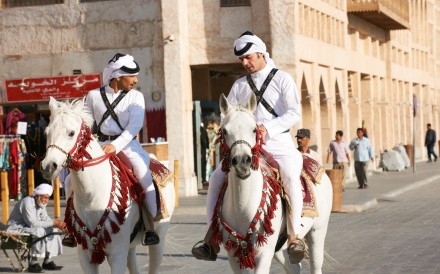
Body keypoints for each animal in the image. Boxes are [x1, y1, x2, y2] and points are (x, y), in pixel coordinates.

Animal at [40, 98, 175, 274]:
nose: (48, 167)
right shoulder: (85, 256)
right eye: (46, 132)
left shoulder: (117, 254)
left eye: (71, 133)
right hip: (130, 248)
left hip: (158, 241)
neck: (91, 197)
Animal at [215, 93, 332, 272]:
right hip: (279, 248)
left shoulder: (264, 252)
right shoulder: (235, 254)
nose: (242, 162)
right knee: (294, 268)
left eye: (254, 129)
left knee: (315, 265)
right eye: (225, 131)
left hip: (317, 232)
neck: (243, 206)